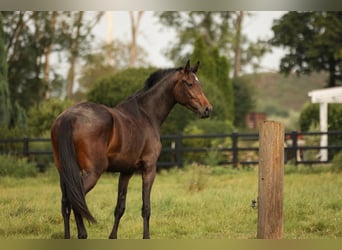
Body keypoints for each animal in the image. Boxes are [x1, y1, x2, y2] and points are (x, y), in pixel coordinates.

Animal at [50, 60, 211, 238]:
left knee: (65, 204)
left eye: (199, 83)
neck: (146, 114)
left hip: (64, 173)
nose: (207, 109)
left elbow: (120, 208)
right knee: (76, 200)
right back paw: (83, 234)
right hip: (92, 172)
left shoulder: (126, 172)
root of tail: (69, 117)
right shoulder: (149, 168)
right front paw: (146, 236)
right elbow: (146, 208)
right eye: (190, 84)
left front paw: (113, 236)